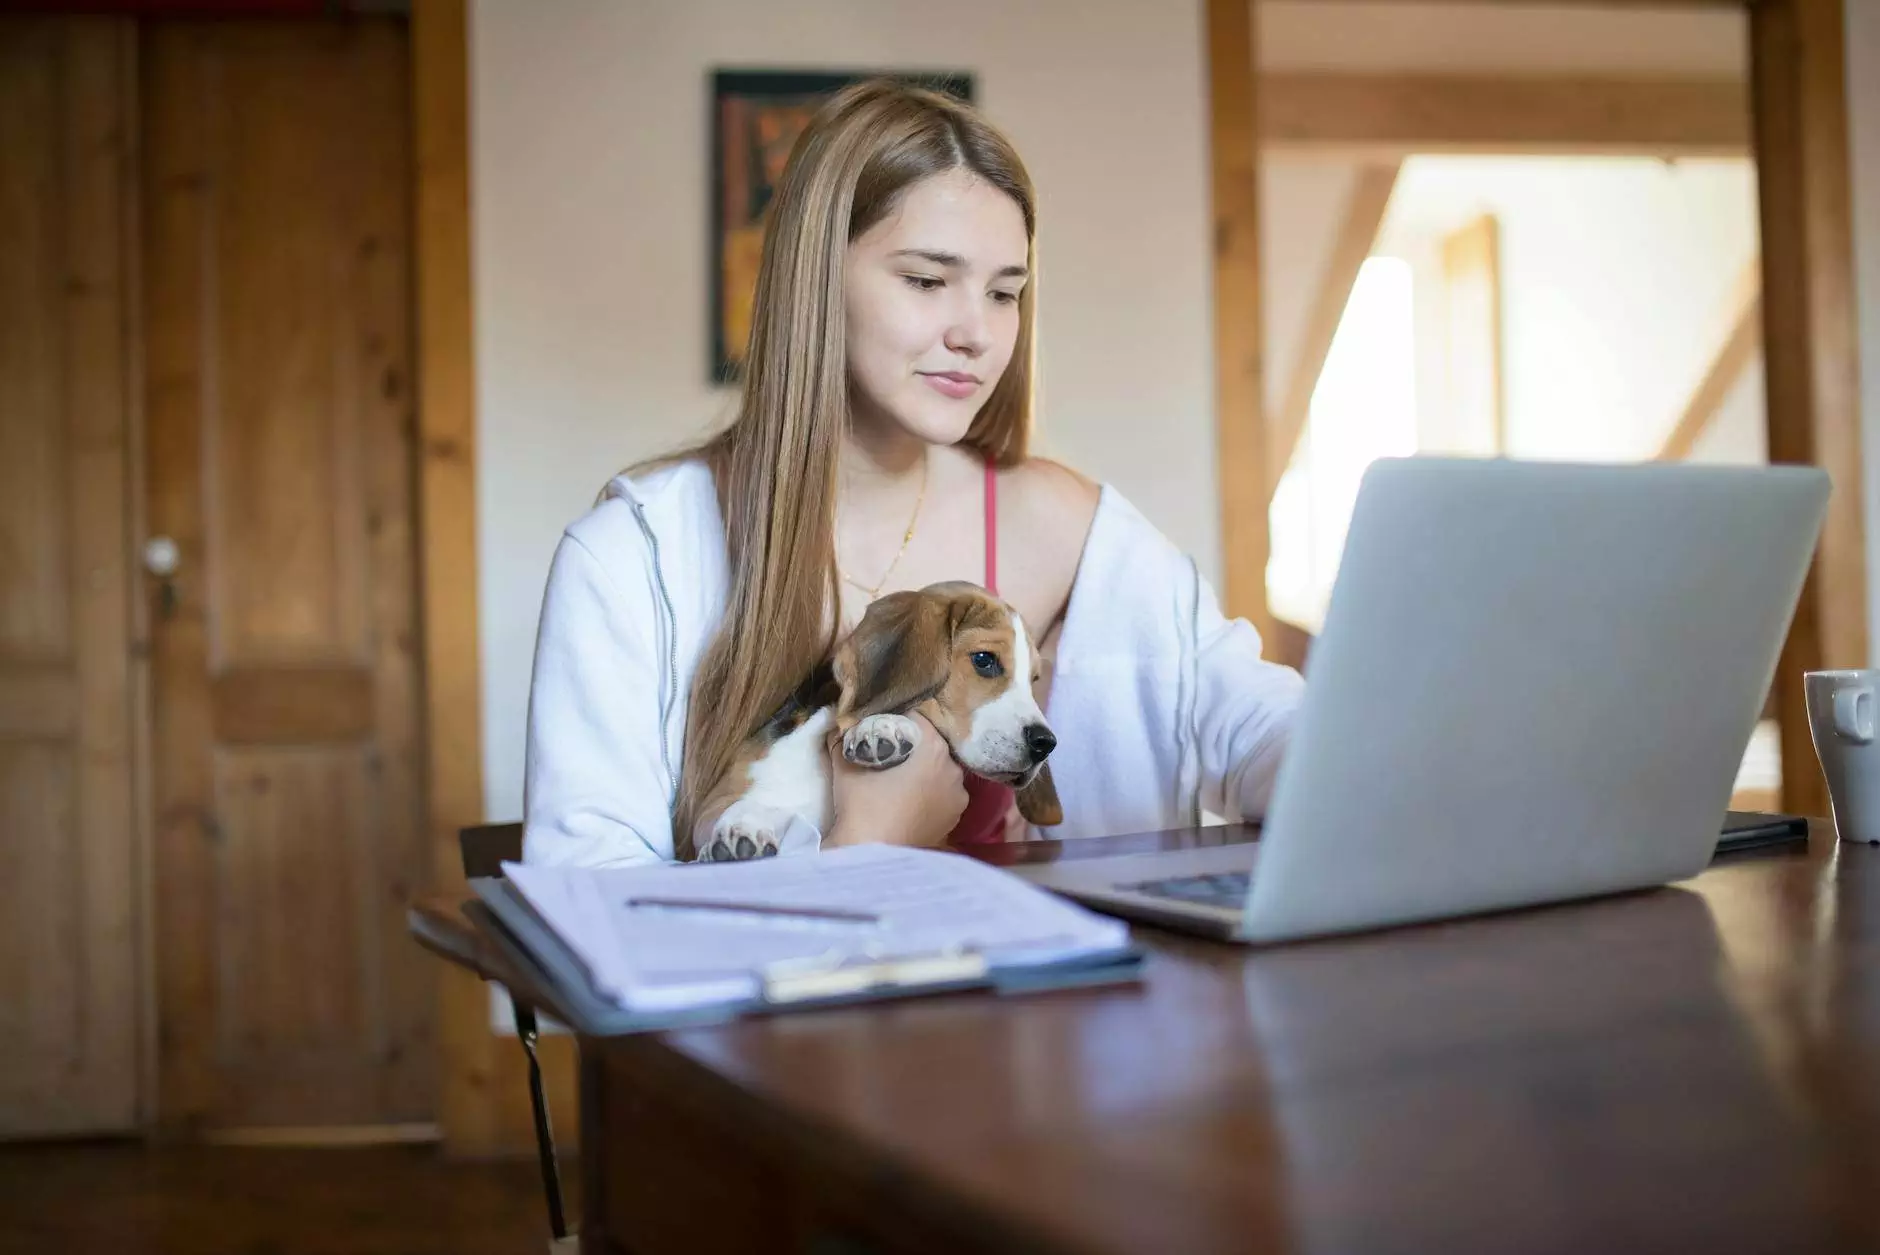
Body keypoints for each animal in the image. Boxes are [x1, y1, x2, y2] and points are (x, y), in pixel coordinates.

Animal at [699, 582, 1067, 864]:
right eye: (984, 660)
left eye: (1034, 680)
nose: (1045, 743)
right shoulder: (716, 801)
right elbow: (740, 804)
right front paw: (743, 827)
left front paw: (878, 727)